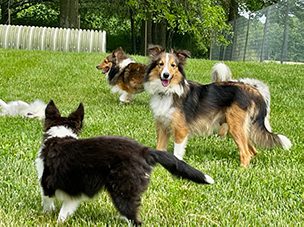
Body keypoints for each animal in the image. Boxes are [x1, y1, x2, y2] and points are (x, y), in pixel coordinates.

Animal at [35, 100, 214, 224]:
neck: (59, 135)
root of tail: (144, 151)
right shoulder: (75, 191)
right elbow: (65, 212)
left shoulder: (47, 182)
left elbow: (47, 202)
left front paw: (47, 215)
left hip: (122, 191)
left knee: (136, 220)